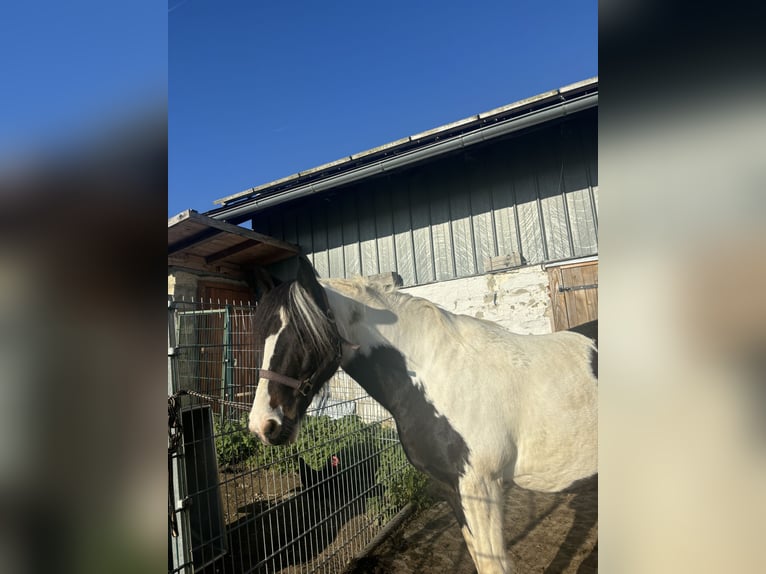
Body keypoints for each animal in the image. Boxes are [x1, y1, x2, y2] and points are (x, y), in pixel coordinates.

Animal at [249, 258, 596, 574]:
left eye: (301, 335)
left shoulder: (480, 487)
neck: (439, 376)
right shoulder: (453, 488)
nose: (263, 425)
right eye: (260, 335)